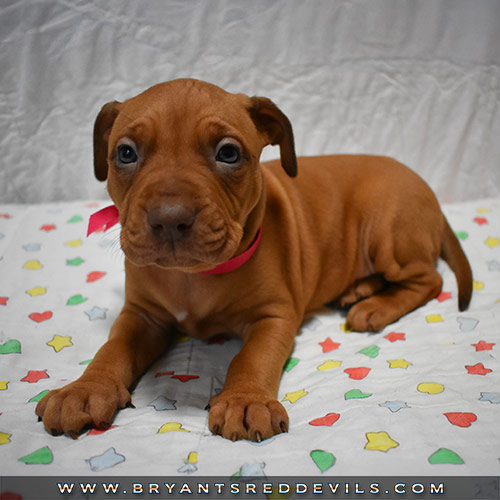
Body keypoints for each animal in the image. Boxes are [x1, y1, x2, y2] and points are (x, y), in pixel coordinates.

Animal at [36, 78, 472, 442]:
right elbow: (112, 348)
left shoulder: (274, 316)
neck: (192, 277)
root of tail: (431, 197)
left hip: (386, 225)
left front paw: (245, 401)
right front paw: (84, 389)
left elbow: (251, 357)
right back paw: (360, 290)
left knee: (428, 279)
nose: (170, 217)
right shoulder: (142, 315)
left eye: (228, 153)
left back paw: (375, 307)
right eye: (125, 153)